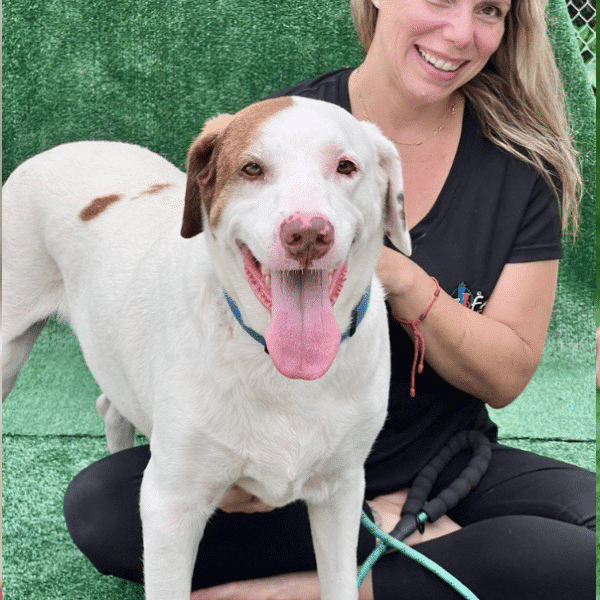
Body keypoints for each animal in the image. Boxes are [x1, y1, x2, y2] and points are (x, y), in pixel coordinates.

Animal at [0, 96, 410, 596]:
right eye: (251, 168)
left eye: (346, 166)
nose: (309, 233)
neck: (277, 365)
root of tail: (62, 147)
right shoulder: (170, 504)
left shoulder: (342, 489)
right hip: (8, 345)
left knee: (111, 404)